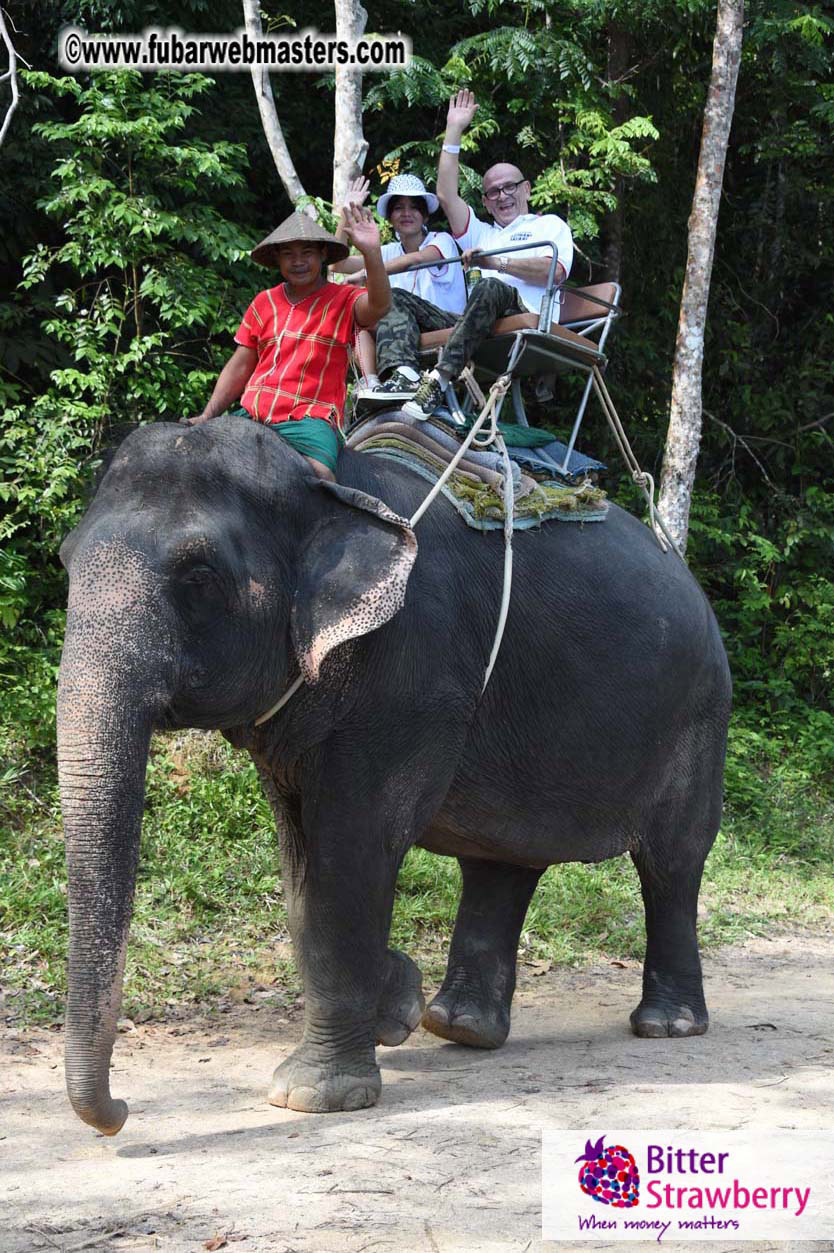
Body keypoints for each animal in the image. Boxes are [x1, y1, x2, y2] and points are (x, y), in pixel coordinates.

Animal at [57, 413, 731, 1136]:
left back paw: (666, 1026)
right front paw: (395, 1006)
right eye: (66, 560)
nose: (120, 1113)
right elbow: (301, 861)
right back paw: (458, 1026)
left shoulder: (410, 675)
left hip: (699, 715)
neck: (325, 486)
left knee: (671, 864)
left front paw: (314, 1095)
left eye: (198, 575)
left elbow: (353, 846)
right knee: (501, 860)